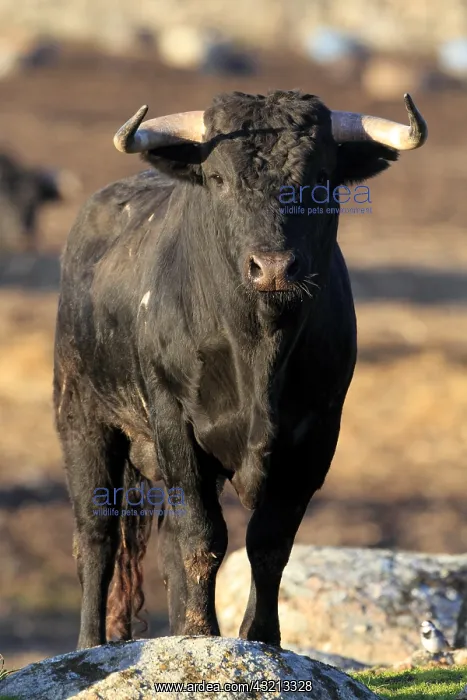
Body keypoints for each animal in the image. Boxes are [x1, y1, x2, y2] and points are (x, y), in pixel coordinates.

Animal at [53, 90, 427, 650]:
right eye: (218, 178)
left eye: (321, 177)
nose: (272, 267)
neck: (258, 354)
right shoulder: (173, 420)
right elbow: (204, 537)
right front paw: (201, 634)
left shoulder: (318, 433)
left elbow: (269, 542)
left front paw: (260, 637)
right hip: (82, 417)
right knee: (96, 536)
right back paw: (90, 644)